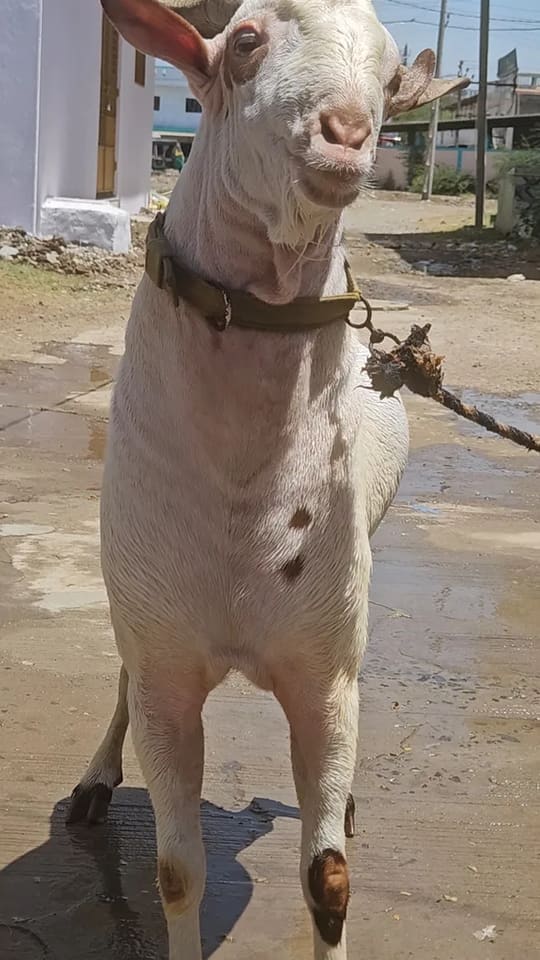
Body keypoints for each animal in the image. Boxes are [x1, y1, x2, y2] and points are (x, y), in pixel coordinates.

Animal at [68, 1, 467, 957]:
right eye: (245, 41)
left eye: (389, 77)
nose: (348, 135)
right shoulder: (164, 652)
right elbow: (177, 872)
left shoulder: (322, 670)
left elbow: (329, 877)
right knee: (121, 681)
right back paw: (97, 781)